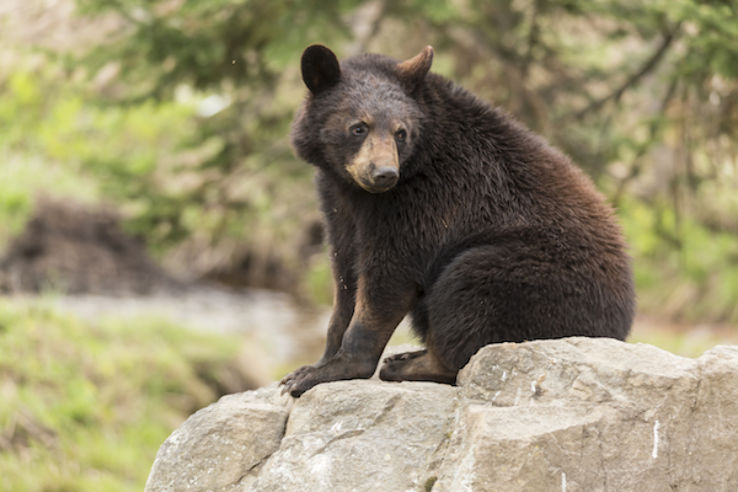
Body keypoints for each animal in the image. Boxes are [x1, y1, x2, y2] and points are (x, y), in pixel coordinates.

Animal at [281, 44, 635, 397]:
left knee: (465, 291)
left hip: (529, 276)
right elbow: (345, 277)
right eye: (358, 127)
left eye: (400, 132)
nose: (384, 173)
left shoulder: (420, 203)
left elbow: (388, 276)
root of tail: (620, 326)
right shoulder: (339, 204)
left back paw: (411, 364)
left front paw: (326, 371)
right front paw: (314, 363)